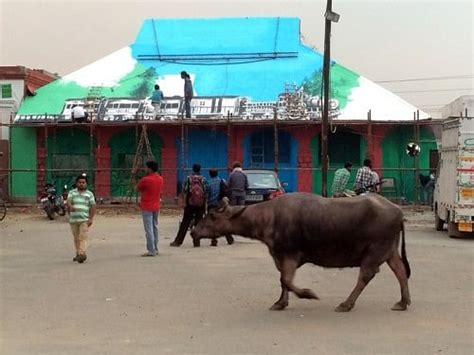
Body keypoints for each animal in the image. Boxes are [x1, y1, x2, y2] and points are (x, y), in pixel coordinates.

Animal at [190, 193, 412, 312]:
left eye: (212, 216)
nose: (193, 231)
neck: (269, 217)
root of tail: (398, 211)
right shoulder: (280, 257)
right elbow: (282, 281)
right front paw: (280, 303)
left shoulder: (290, 255)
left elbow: (286, 280)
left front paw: (308, 294)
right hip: (389, 250)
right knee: (400, 271)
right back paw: (403, 302)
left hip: (375, 251)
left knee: (366, 276)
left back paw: (346, 304)